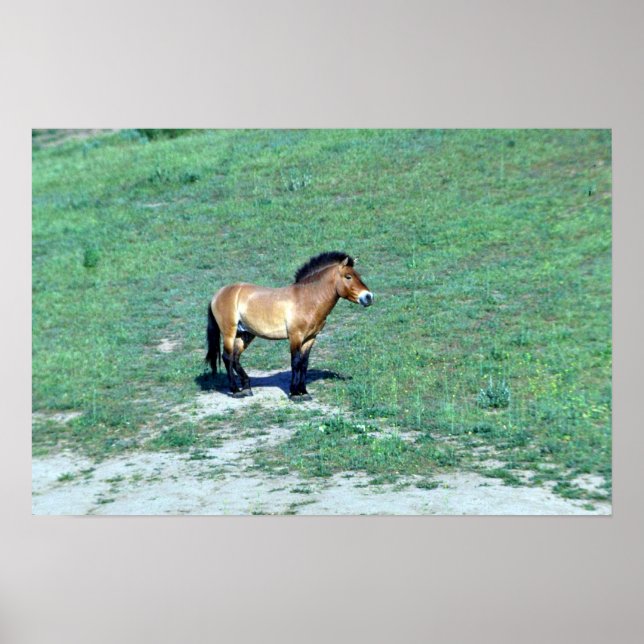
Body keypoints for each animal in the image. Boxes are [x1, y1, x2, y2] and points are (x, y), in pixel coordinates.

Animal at [205, 251, 374, 401]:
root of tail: (218, 294)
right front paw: (294, 393)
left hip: (245, 334)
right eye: (348, 276)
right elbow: (295, 362)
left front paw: (304, 392)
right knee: (227, 357)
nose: (368, 297)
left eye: (358, 275)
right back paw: (236, 391)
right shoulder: (295, 337)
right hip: (229, 332)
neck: (307, 299)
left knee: (235, 358)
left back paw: (246, 388)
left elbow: (304, 363)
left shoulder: (310, 338)